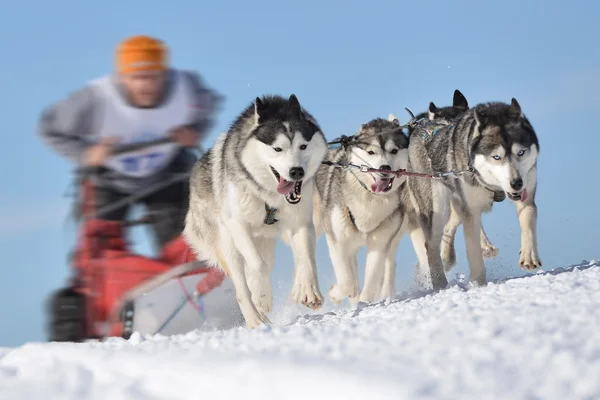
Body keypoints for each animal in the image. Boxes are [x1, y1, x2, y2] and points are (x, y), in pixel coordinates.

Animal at [185, 94, 330, 328]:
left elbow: (306, 260)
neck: (269, 197)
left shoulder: (302, 223)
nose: (296, 171)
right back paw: (255, 319)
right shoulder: (238, 226)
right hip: (229, 246)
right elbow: (257, 265)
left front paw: (308, 291)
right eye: (277, 149)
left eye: (303, 146)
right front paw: (263, 296)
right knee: (242, 287)